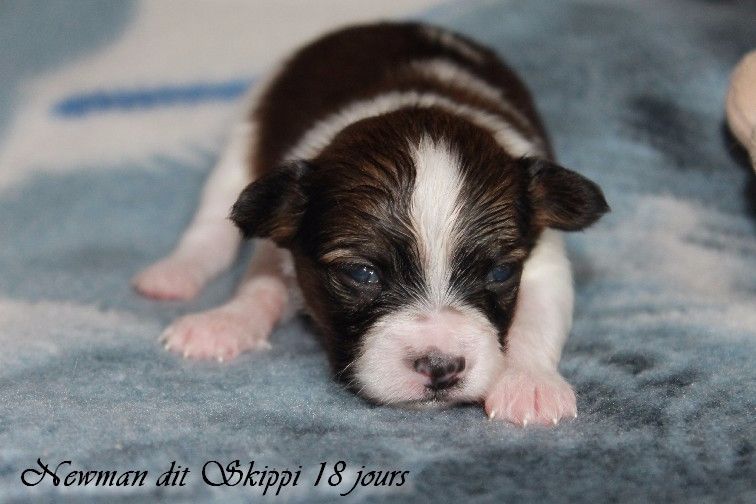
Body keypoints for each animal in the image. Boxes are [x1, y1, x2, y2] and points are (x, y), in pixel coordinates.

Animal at [133, 22, 608, 426]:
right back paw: (174, 274)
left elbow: (539, 317)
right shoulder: (282, 243)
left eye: (501, 272)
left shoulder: (544, 259)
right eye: (361, 273)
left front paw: (530, 384)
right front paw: (226, 322)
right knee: (212, 222)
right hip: (243, 137)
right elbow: (260, 286)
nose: (441, 367)